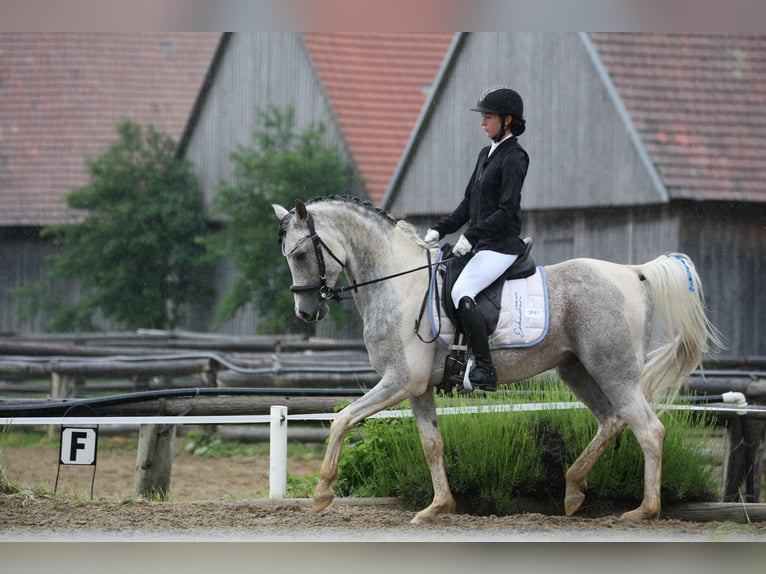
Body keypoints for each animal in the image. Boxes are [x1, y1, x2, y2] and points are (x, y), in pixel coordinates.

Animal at [272, 195, 723, 524]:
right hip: (577, 369)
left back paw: (643, 511)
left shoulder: (398, 380)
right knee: (613, 420)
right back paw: (573, 490)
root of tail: (633, 272)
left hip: (614, 370)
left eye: (300, 254)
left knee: (648, 429)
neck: (398, 284)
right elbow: (431, 443)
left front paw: (322, 493)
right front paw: (438, 507)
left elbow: (343, 419)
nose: (306, 312)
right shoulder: (417, 387)